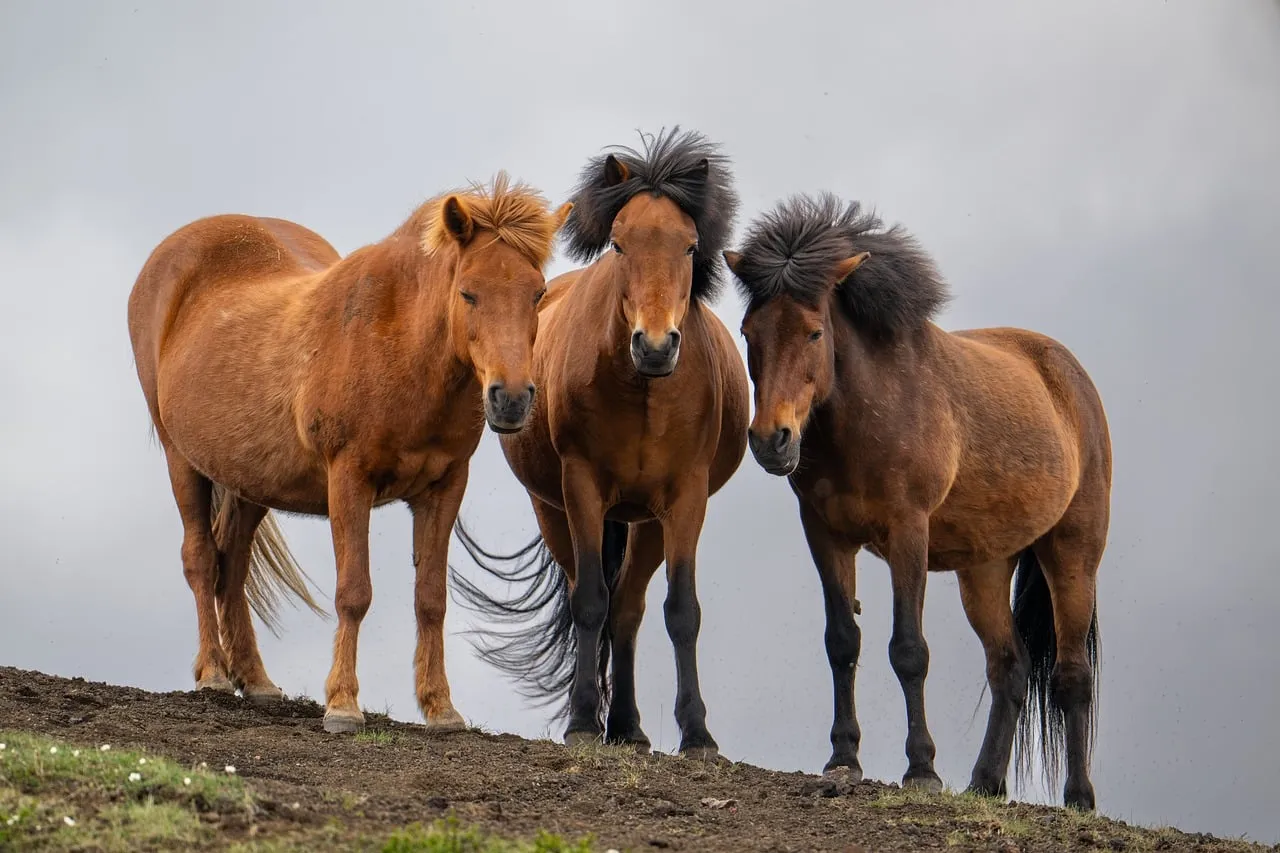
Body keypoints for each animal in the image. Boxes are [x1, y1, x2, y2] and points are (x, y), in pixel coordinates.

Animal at [126, 173, 573, 734]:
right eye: (468, 292)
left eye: (538, 293)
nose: (511, 399)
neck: (399, 343)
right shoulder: (349, 480)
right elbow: (354, 592)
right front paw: (342, 704)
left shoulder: (445, 487)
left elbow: (431, 599)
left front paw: (440, 708)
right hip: (181, 460)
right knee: (201, 558)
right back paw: (212, 673)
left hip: (250, 481)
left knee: (233, 567)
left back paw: (255, 680)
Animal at [450, 128, 749, 759]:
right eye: (618, 243)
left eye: (690, 247)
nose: (655, 346)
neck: (643, 394)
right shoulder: (582, 487)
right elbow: (589, 600)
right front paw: (584, 722)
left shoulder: (685, 500)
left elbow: (681, 611)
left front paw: (697, 733)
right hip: (554, 510)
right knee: (592, 597)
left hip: (646, 522)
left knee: (629, 609)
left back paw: (630, 727)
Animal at [723, 193, 1110, 810]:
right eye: (748, 330)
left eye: (814, 332)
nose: (770, 440)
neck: (870, 410)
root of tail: (1071, 377)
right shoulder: (825, 534)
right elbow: (842, 642)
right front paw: (843, 758)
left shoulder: (907, 531)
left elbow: (908, 650)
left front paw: (921, 768)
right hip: (985, 569)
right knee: (1010, 669)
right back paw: (984, 783)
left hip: (1072, 553)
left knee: (1072, 676)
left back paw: (1078, 798)